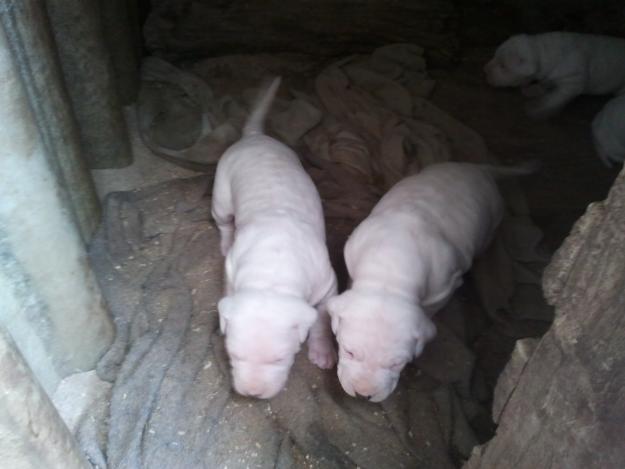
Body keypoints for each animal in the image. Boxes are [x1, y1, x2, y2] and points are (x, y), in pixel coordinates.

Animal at [211, 77, 338, 398]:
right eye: (233, 354)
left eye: (281, 358)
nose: (252, 394)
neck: (273, 270)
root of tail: (254, 137)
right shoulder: (233, 268)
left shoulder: (327, 285)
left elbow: (321, 320)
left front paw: (323, 352)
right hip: (221, 195)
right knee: (224, 223)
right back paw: (225, 240)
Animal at [326, 163, 536, 400]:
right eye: (349, 351)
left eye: (397, 364)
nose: (363, 395)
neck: (392, 272)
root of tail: (478, 168)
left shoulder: (445, 287)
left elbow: (430, 308)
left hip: (494, 215)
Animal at [486, 31, 624, 117]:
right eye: (494, 56)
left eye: (503, 66)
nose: (484, 70)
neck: (542, 52)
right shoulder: (548, 76)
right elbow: (545, 84)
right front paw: (532, 90)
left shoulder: (573, 82)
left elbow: (553, 98)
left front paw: (534, 109)